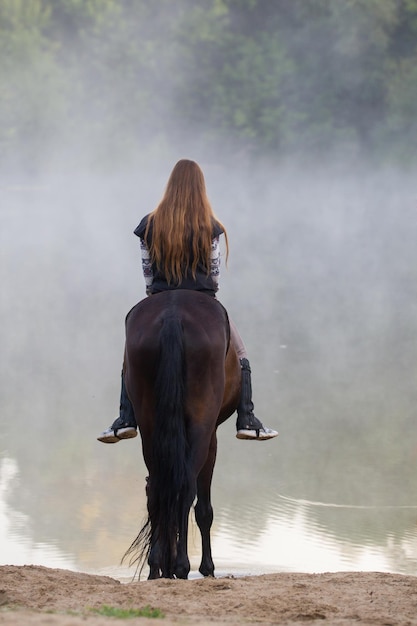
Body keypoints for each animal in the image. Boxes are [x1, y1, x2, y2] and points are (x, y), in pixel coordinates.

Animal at [122, 290, 239, 576]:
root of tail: (173, 315)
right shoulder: (212, 437)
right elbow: (204, 509)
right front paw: (206, 567)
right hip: (201, 424)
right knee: (185, 488)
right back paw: (182, 566)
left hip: (149, 425)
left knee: (157, 487)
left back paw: (158, 566)